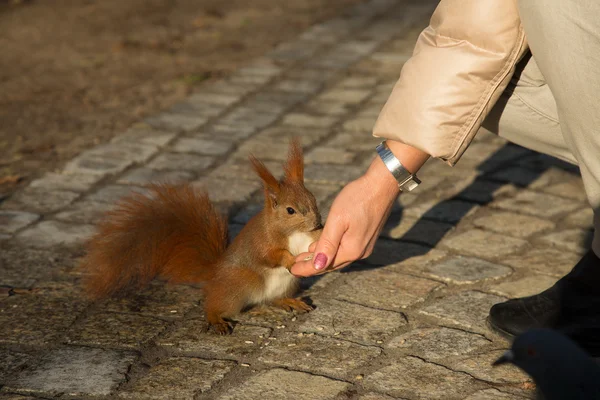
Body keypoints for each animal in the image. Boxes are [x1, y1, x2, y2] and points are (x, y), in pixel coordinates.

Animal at [83, 139, 324, 332]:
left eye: (314, 199)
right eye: (290, 210)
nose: (317, 222)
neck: (296, 232)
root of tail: (214, 274)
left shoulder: (308, 237)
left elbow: (314, 241)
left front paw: (323, 234)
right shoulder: (262, 241)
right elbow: (270, 255)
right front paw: (290, 259)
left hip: (286, 284)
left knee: (274, 299)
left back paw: (290, 302)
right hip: (238, 285)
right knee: (215, 305)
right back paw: (216, 319)